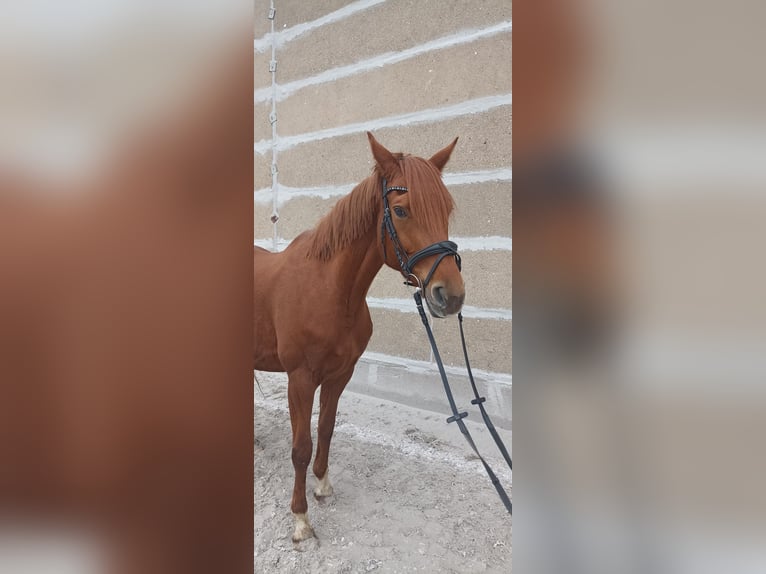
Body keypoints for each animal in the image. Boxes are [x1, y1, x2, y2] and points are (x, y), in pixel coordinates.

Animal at [255, 133, 464, 544]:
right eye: (400, 210)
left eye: (446, 208)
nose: (450, 296)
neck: (329, 291)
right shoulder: (300, 379)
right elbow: (301, 447)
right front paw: (301, 518)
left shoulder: (340, 375)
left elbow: (326, 428)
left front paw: (322, 485)